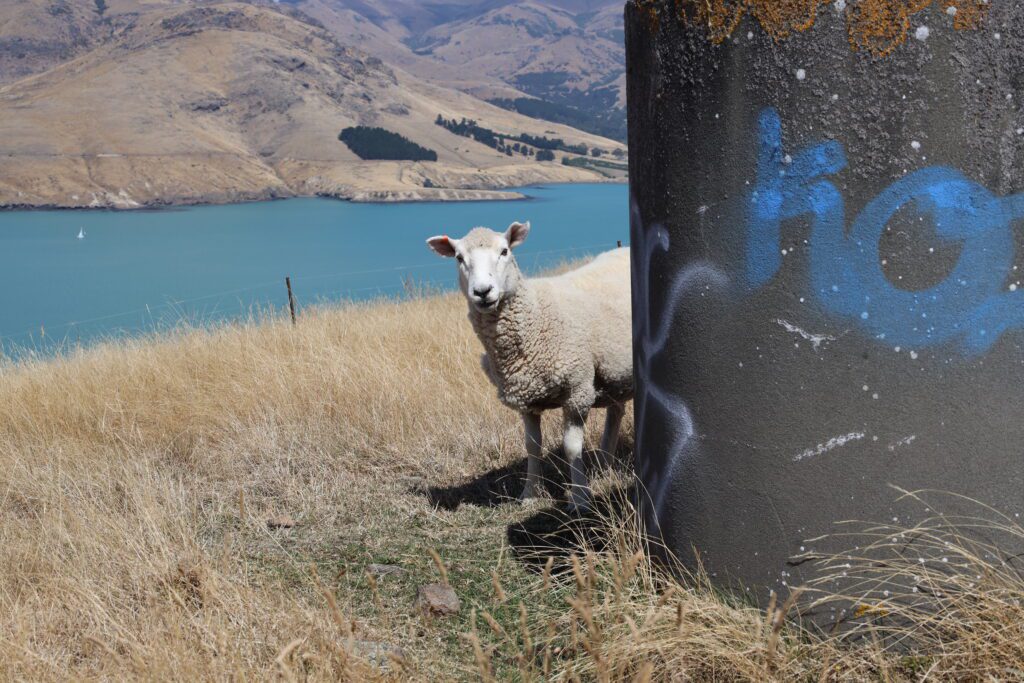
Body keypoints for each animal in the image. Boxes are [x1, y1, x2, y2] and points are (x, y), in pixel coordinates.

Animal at [423, 222, 630, 509]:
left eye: (504, 251)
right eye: (459, 258)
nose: (483, 292)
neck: (536, 314)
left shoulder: (577, 391)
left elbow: (571, 448)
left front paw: (579, 498)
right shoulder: (526, 400)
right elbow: (532, 446)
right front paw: (530, 494)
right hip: (613, 373)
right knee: (616, 411)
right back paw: (604, 464)